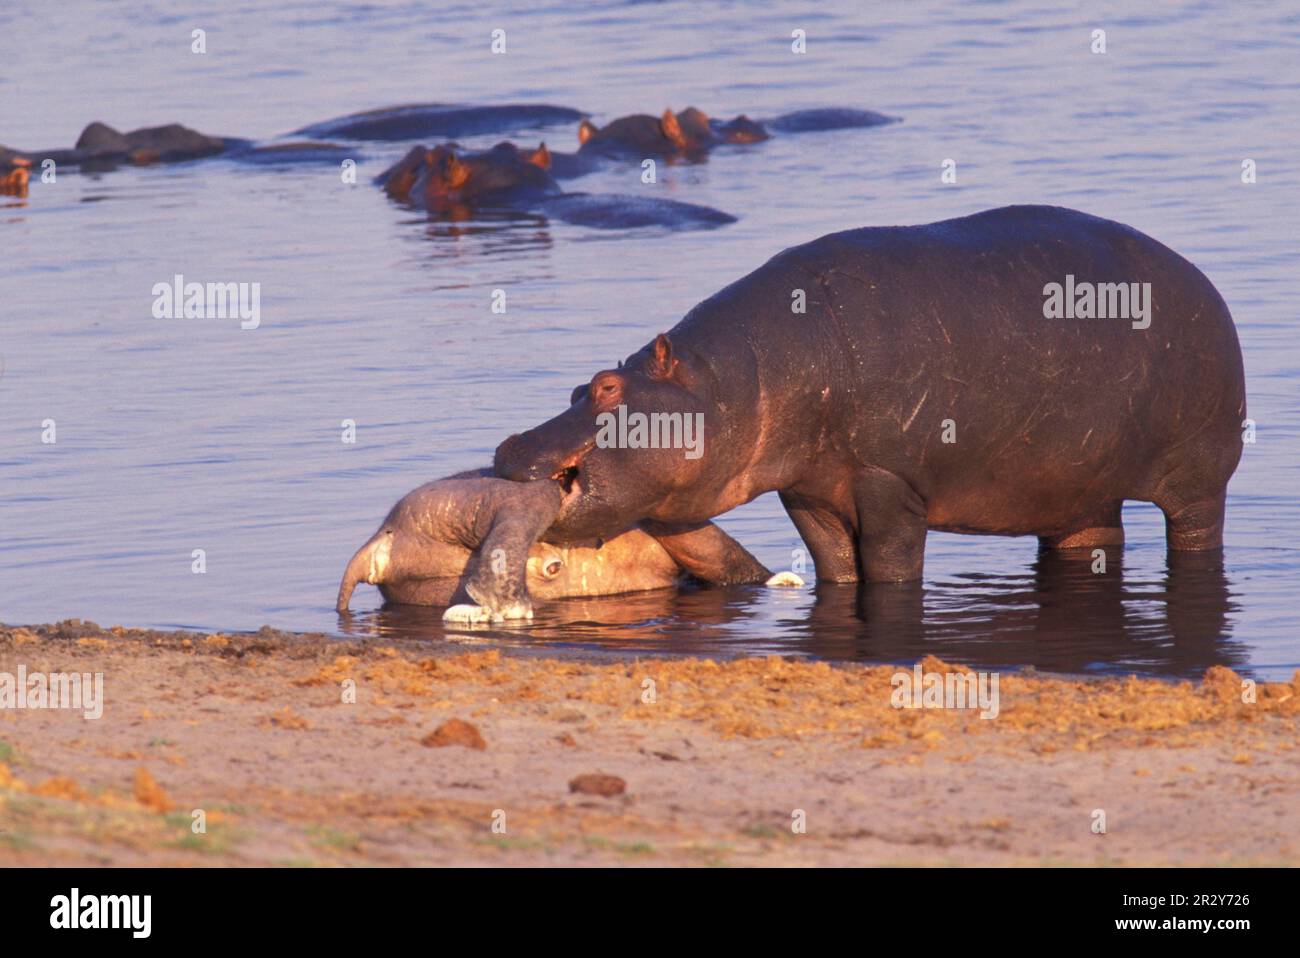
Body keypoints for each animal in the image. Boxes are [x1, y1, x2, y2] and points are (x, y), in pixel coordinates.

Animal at [493, 205, 1246, 583]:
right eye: (576, 384)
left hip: (1200, 479)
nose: (510, 446)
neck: (730, 384)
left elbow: (888, 569)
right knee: (1091, 536)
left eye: (607, 385)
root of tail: (1200, 277)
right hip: (1078, 490)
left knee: (1197, 535)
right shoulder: (810, 491)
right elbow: (836, 567)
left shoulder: (891, 481)